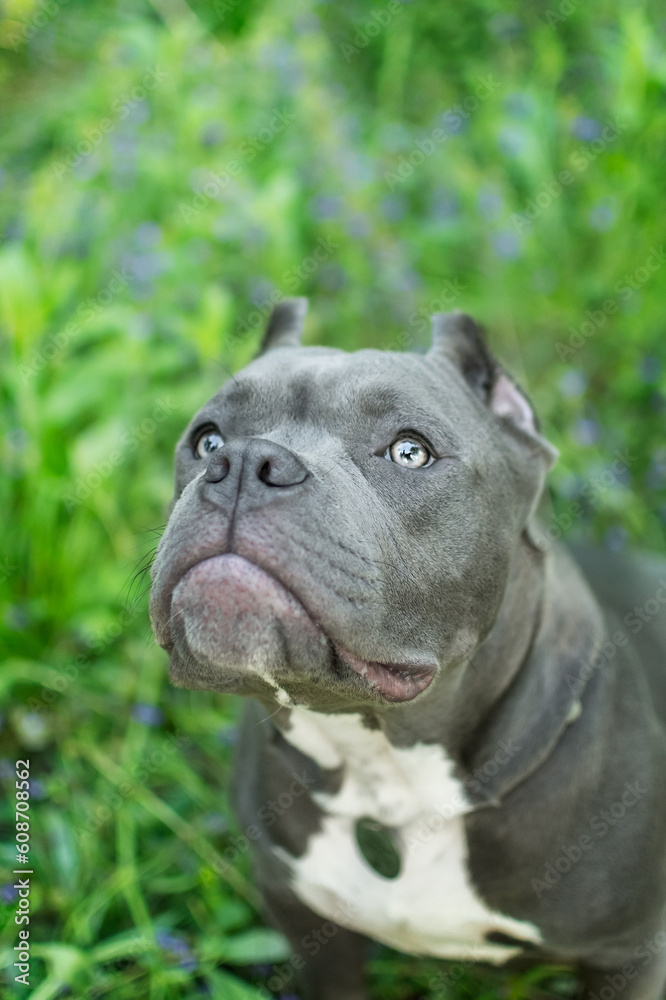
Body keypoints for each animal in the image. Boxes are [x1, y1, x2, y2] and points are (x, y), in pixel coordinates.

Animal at [150, 302, 664, 1000]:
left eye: (410, 450)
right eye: (206, 438)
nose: (246, 462)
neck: (386, 775)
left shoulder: (630, 955)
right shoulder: (304, 916)